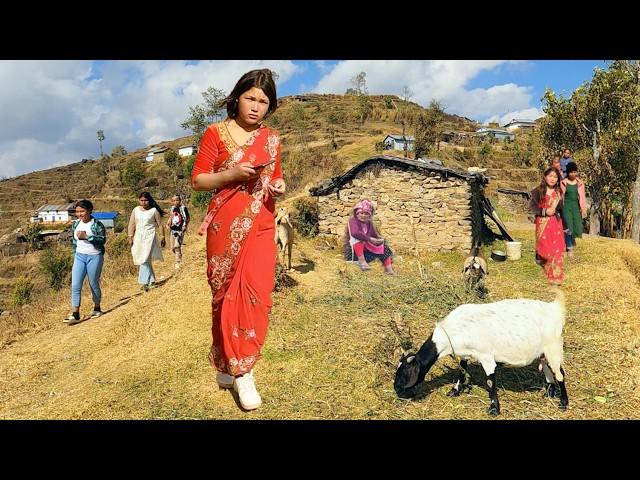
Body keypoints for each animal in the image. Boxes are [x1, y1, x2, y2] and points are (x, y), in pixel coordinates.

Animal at [396, 288, 568, 416]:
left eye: (404, 373)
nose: (397, 391)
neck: (455, 328)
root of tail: (554, 309)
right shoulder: (465, 353)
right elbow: (461, 369)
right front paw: (455, 390)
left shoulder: (486, 356)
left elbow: (490, 381)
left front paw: (494, 409)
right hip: (543, 351)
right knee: (547, 368)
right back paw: (549, 393)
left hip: (553, 347)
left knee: (560, 373)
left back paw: (563, 403)